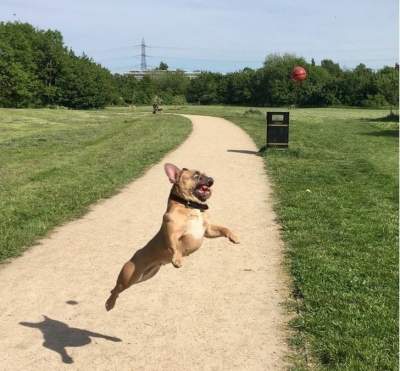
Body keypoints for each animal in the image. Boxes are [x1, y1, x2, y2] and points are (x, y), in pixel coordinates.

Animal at [104, 163, 239, 310]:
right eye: (196, 176)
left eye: (206, 175)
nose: (211, 179)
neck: (189, 206)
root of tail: (135, 255)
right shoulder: (173, 234)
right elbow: (175, 246)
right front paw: (177, 259)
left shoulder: (208, 230)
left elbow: (223, 228)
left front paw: (233, 236)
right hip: (129, 277)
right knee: (117, 287)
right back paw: (110, 303)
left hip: (146, 275)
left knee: (119, 288)